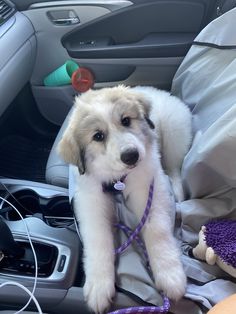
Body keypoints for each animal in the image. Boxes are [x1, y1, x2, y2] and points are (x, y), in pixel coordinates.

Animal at [57, 84, 192, 312]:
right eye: (98, 136)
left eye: (126, 120)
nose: (131, 155)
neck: (118, 179)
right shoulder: (90, 199)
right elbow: (98, 238)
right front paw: (99, 285)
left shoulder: (150, 186)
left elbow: (157, 230)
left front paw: (170, 274)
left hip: (174, 132)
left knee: (173, 168)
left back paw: (177, 190)